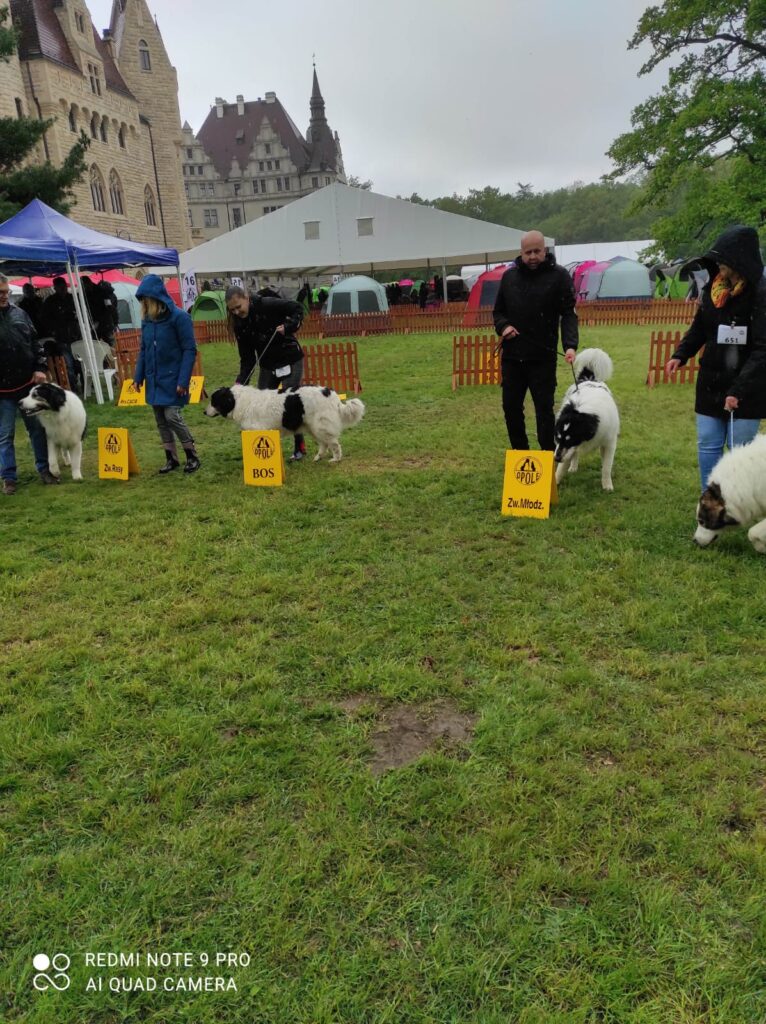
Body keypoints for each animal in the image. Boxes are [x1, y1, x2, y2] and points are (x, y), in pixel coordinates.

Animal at [205, 384, 365, 463]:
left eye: (214, 401)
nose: (204, 412)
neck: (238, 401)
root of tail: (329, 392)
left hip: (320, 426)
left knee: (334, 444)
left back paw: (336, 459)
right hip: (313, 427)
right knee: (324, 444)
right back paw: (318, 457)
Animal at [553, 348, 620, 491]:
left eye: (570, 439)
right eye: (558, 438)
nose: (556, 458)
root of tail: (589, 378)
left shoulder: (609, 442)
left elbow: (607, 466)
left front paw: (607, 485)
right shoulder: (568, 449)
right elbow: (561, 469)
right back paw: (573, 466)